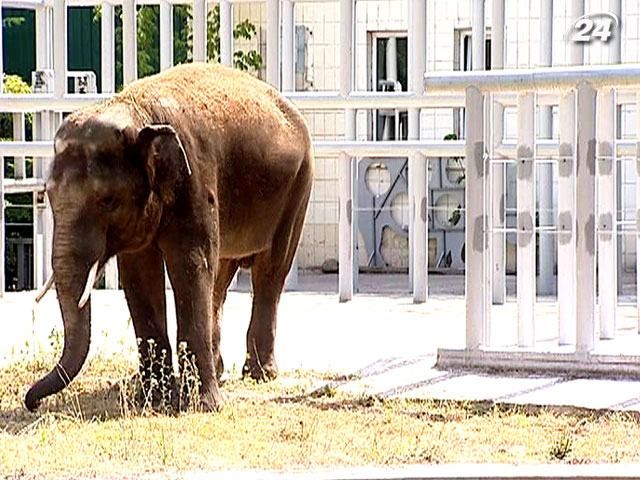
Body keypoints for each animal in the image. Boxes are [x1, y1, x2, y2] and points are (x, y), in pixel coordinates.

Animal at [23, 61, 314, 412]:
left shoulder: (194, 179)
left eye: (107, 201)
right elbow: (139, 276)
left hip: (299, 185)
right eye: (48, 196)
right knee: (220, 276)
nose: (32, 403)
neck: (136, 112)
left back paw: (260, 374)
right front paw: (153, 401)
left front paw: (202, 406)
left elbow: (189, 265)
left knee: (270, 271)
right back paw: (220, 370)